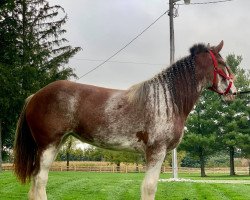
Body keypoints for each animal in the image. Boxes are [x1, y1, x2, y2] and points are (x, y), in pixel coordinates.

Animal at [13, 39, 236, 199]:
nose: (233, 92)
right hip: (48, 145)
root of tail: (36, 95)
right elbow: (149, 188)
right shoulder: (156, 151)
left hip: (54, 144)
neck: (166, 99)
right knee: (40, 181)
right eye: (223, 64)